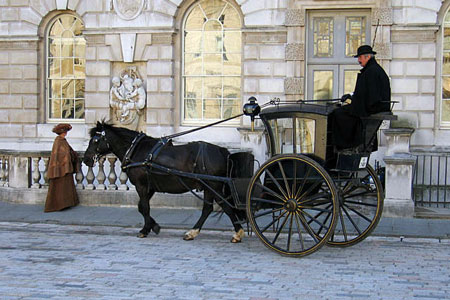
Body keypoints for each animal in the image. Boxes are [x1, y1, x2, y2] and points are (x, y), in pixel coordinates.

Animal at [84, 120, 246, 243]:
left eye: (95, 140)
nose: (86, 159)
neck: (136, 150)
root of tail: (223, 152)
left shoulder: (142, 186)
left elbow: (145, 208)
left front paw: (146, 229)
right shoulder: (149, 187)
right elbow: (141, 207)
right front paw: (153, 226)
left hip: (214, 186)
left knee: (225, 206)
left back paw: (238, 233)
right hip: (208, 187)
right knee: (208, 209)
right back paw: (193, 232)